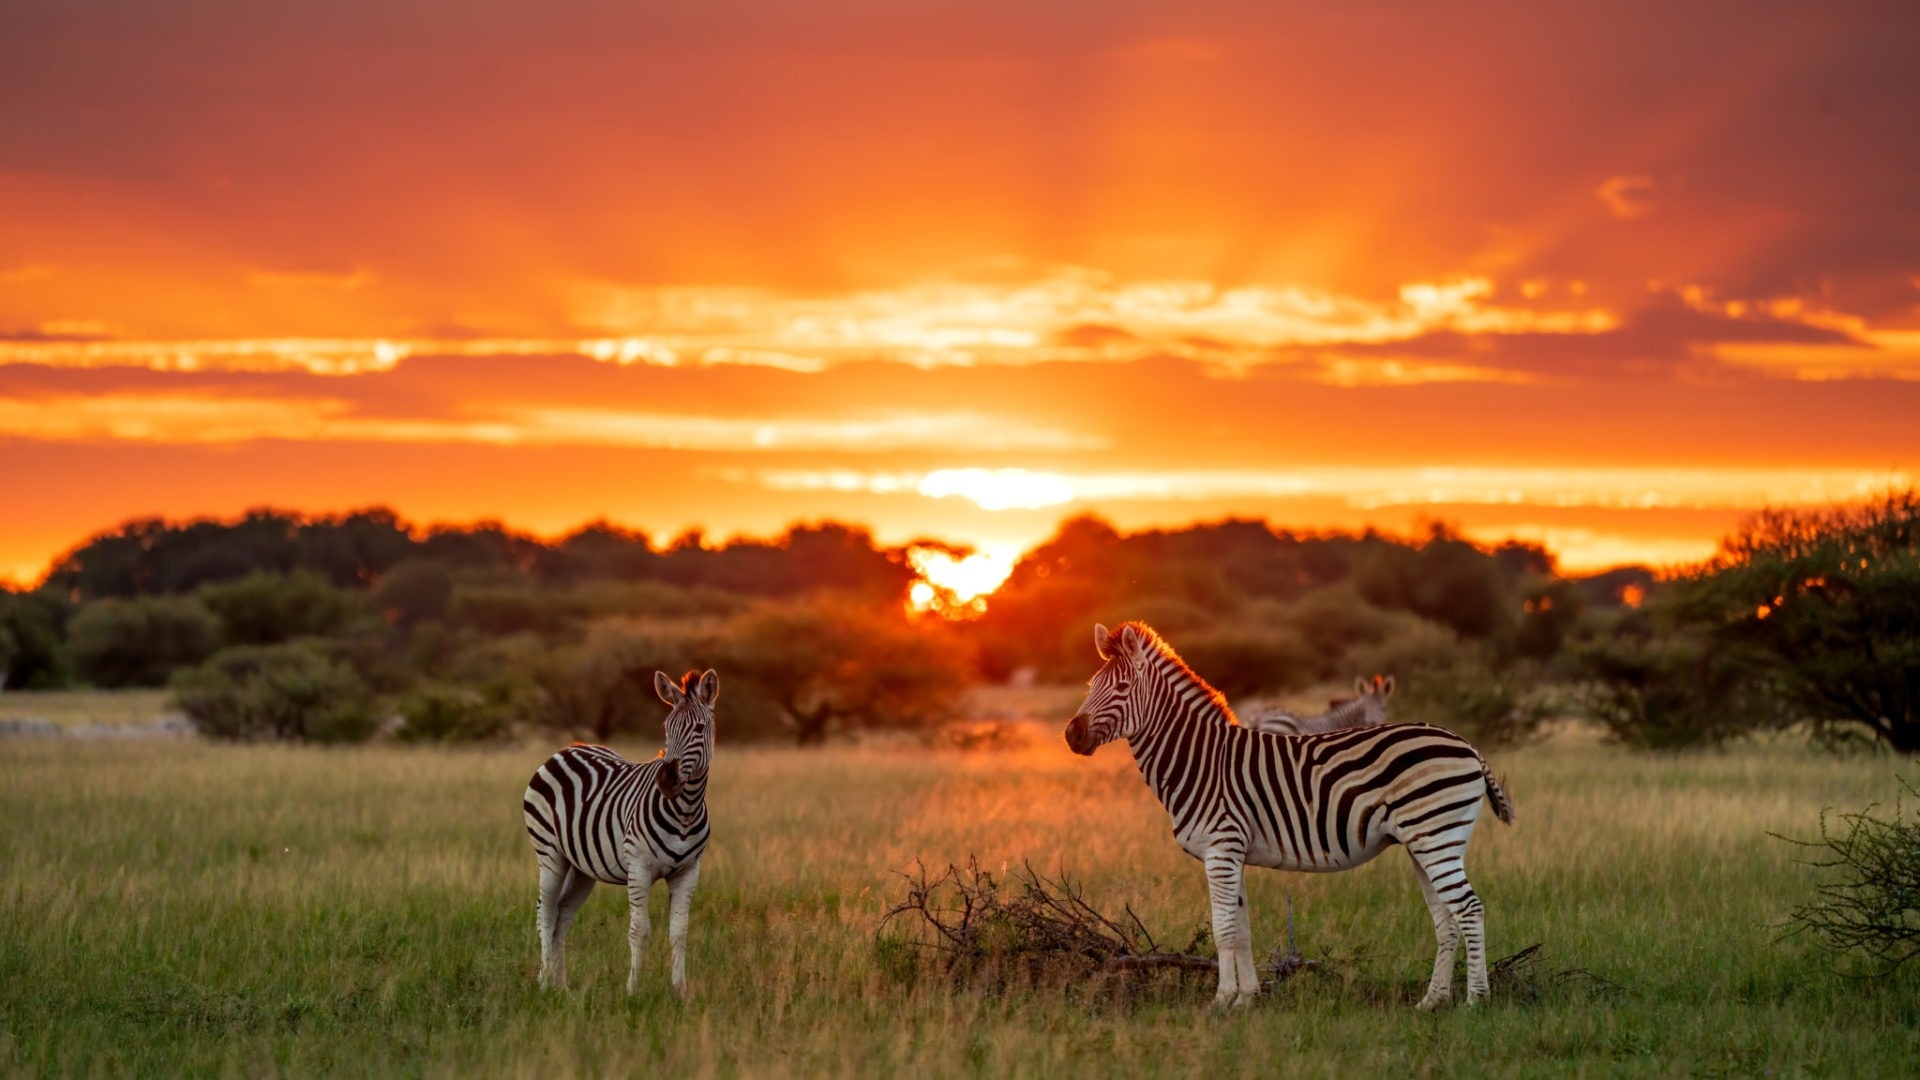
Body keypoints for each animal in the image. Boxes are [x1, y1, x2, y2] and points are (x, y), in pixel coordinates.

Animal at [522, 668, 718, 999]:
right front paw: (633, 991)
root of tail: (568, 748)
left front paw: (679, 991)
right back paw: (545, 982)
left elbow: (679, 932)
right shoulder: (638, 867)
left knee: (562, 915)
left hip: (581, 867)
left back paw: (562, 987)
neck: (685, 810)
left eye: (700, 727)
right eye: (666, 727)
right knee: (545, 913)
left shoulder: (689, 871)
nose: (667, 780)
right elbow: (639, 931)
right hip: (550, 853)